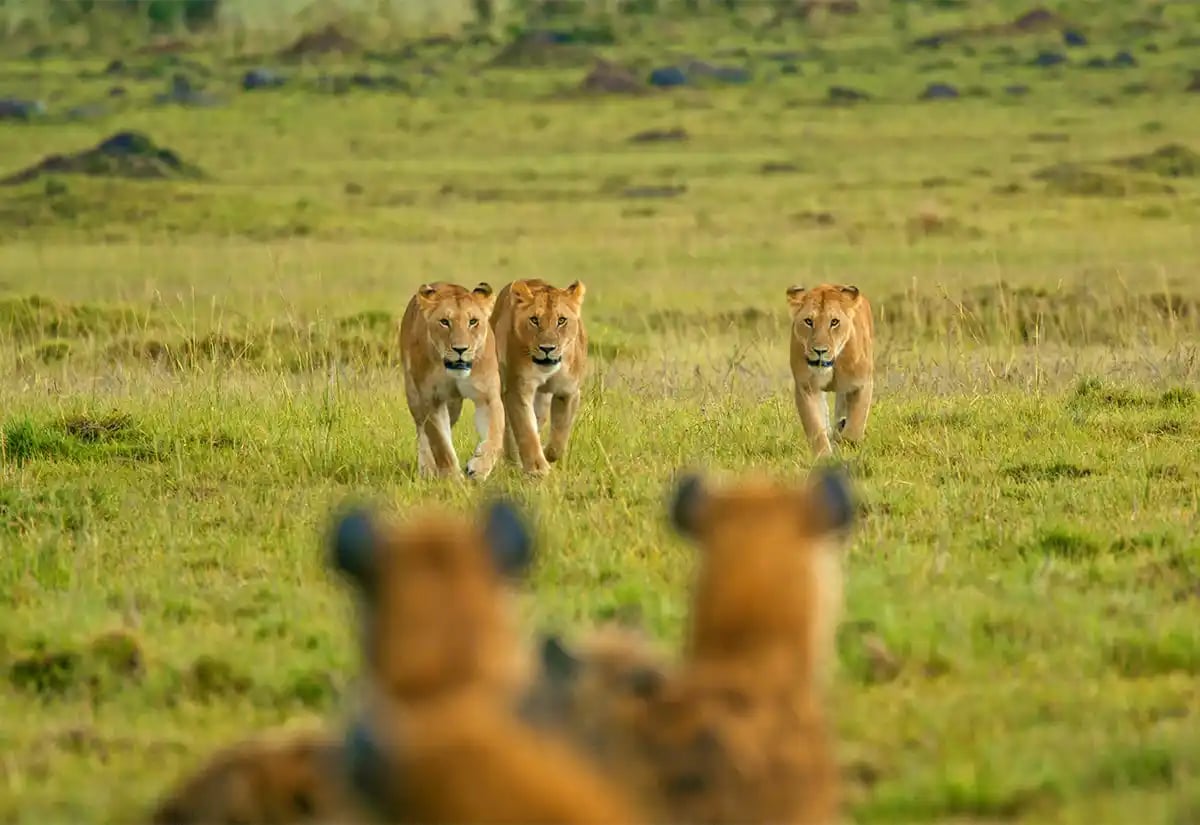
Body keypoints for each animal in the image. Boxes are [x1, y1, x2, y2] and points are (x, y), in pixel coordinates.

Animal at [399, 281, 505, 481]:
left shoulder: (487, 396)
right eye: (444, 322)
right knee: (422, 432)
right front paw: (453, 479)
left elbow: (495, 434)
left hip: (454, 405)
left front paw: (479, 468)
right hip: (414, 395)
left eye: (473, 321)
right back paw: (427, 470)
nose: (460, 349)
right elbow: (441, 444)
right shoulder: (430, 400)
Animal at [488, 279, 588, 477]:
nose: (547, 348)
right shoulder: (518, 390)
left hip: (542, 398)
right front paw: (537, 469)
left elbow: (560, 436)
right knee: (509, 426)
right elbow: (526, 430)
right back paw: (513, 460)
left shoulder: (568, 392)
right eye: (534, 320)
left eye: (561, 320)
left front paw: (547, 454)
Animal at [786, 284, 875, 460]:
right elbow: (815, 427)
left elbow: (855, 426)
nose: (820, 351)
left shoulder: (862, 383)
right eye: (808, 321)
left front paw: (845, 445)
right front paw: (824, 457)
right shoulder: (806, 387)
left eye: (834, 322)